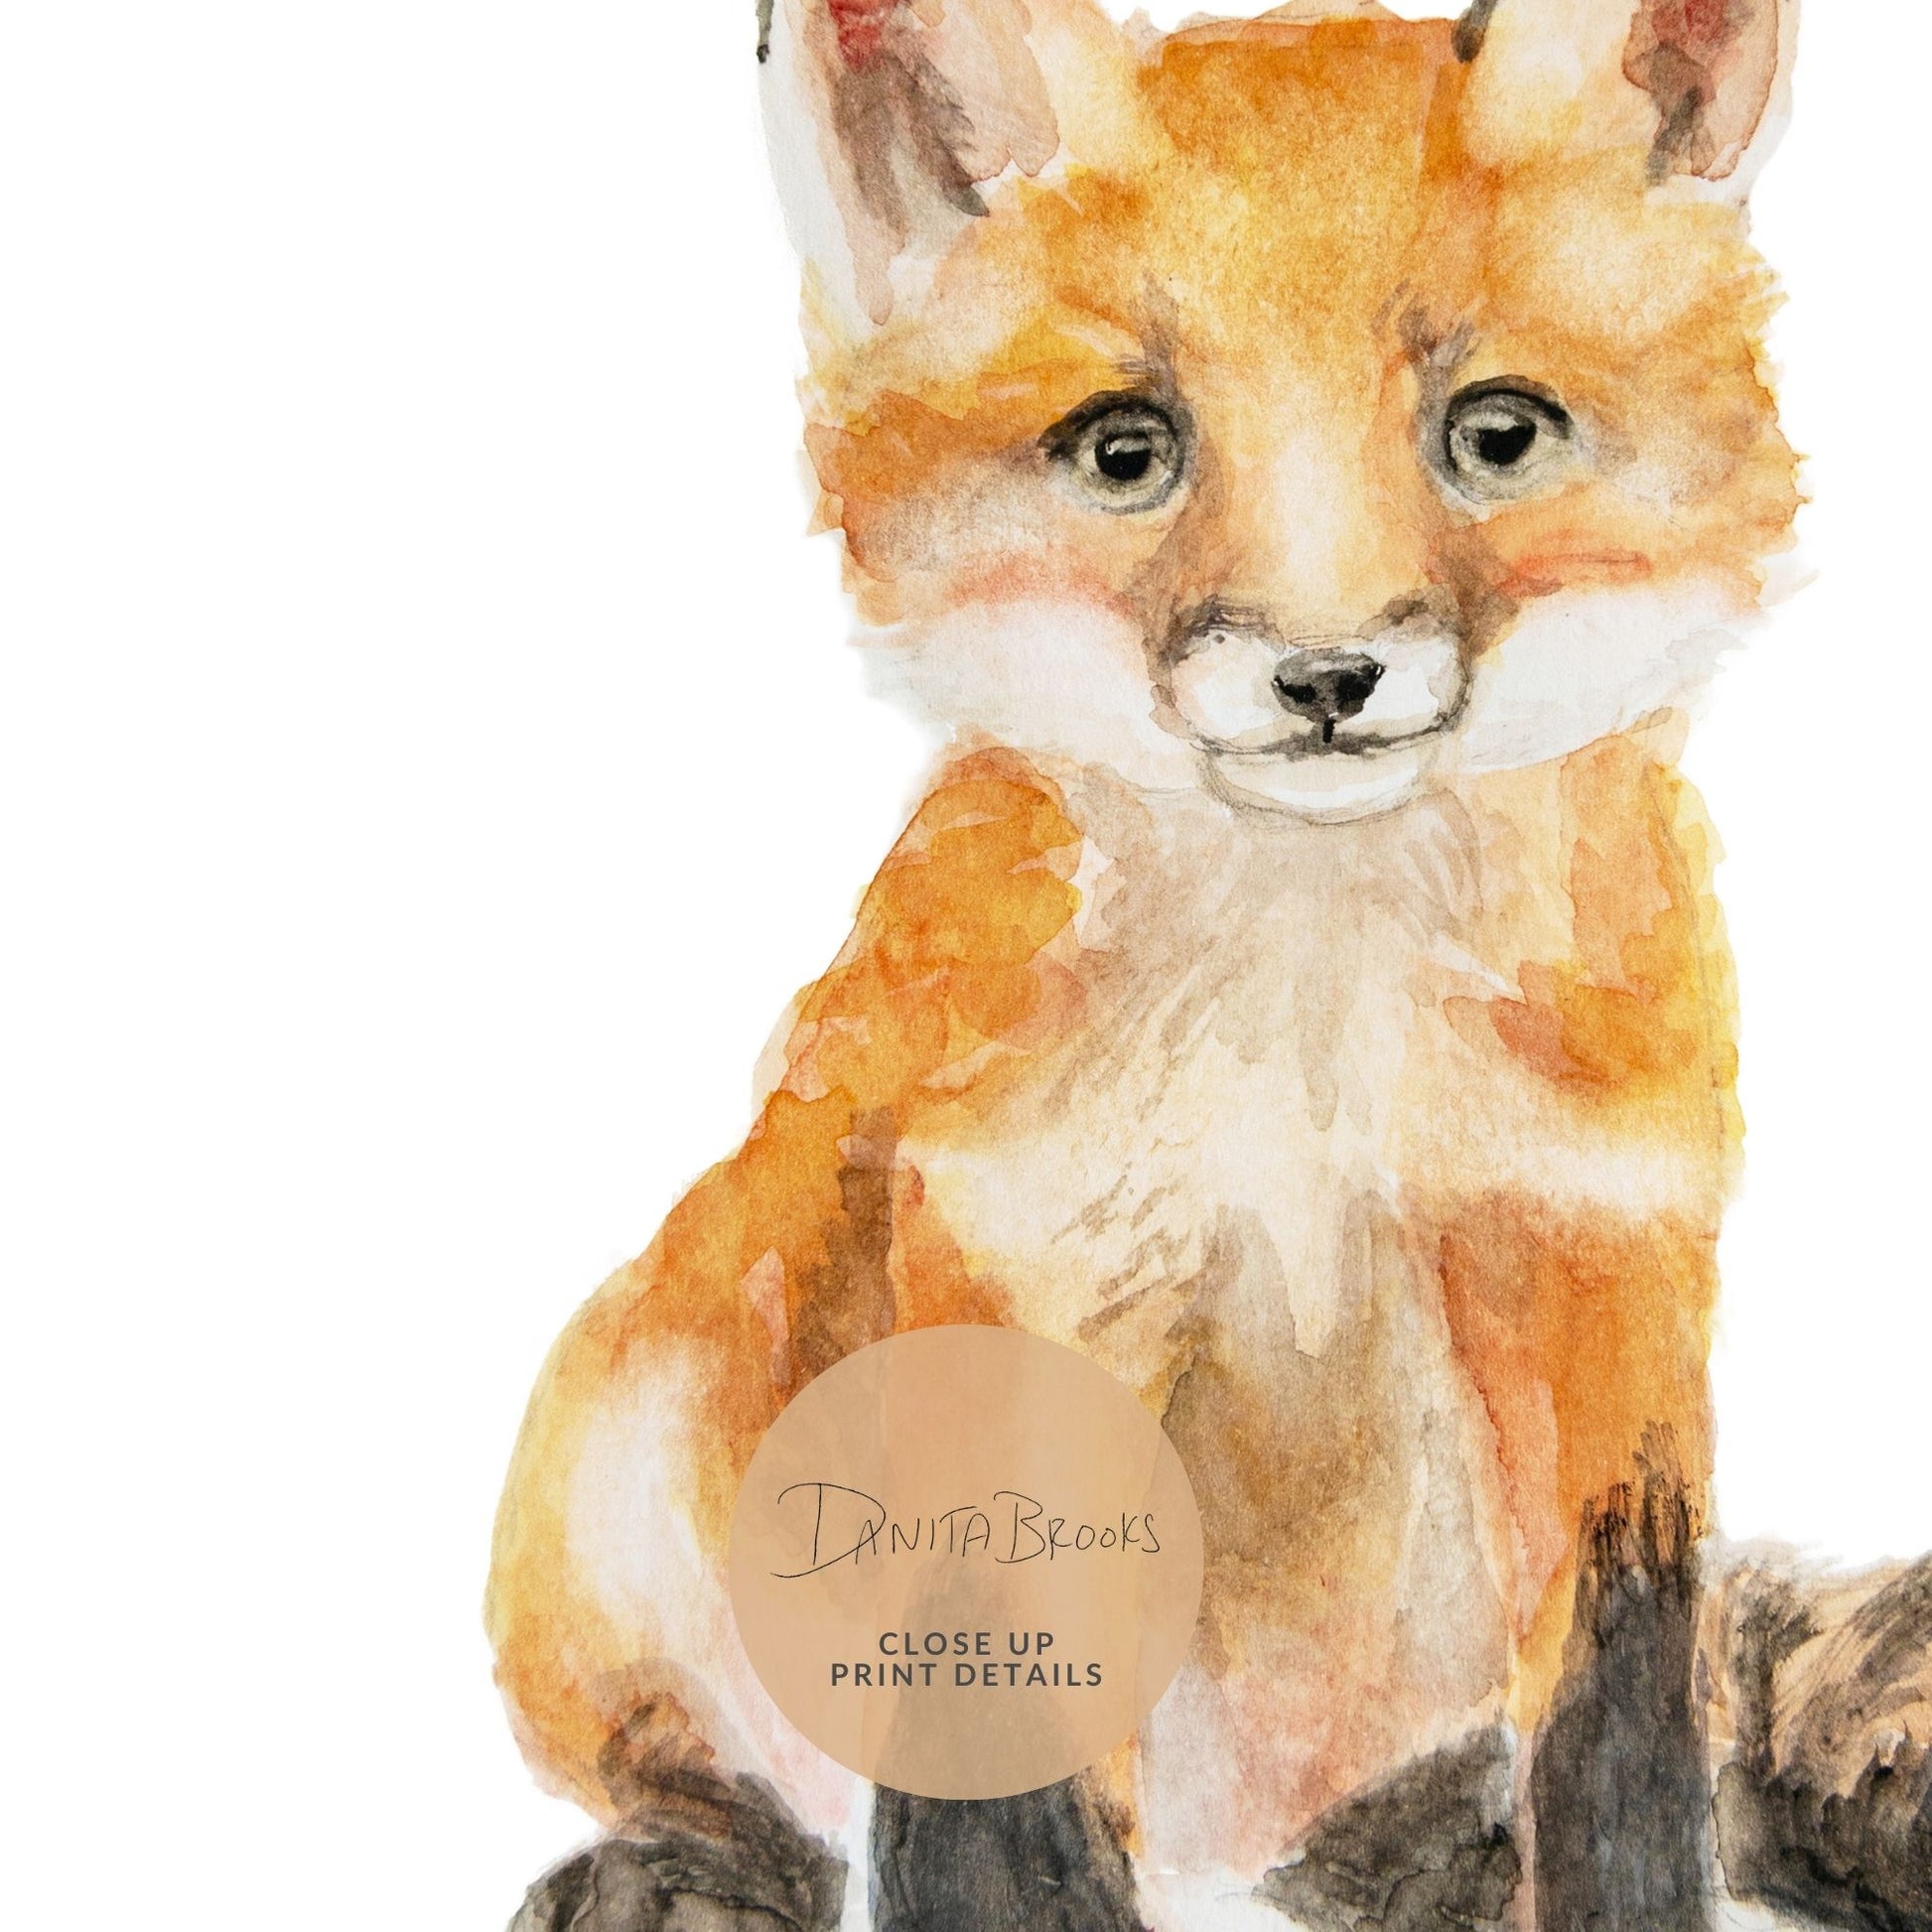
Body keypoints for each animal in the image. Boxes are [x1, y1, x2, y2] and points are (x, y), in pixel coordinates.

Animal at [491, 1, 1932, 1927]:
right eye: (1126, 448)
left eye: (1493, 432)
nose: (1326, 677)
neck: (1314, 1089)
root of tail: (1225, 1843)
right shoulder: (1025, 1281)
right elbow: (990, 1799)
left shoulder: (1602, 1270)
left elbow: (1620, 1734)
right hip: (615, 1455)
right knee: (722, 1772)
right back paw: (684, 1858)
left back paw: (1425, 1849)